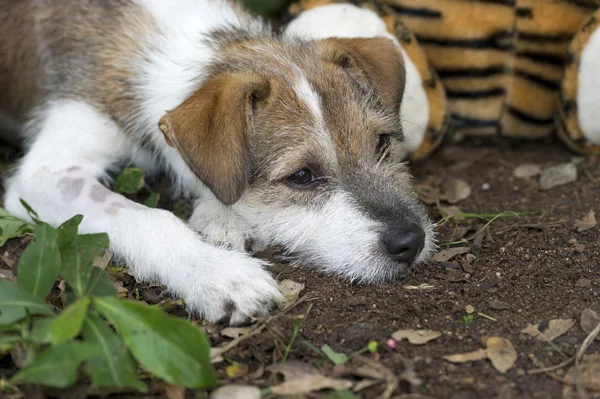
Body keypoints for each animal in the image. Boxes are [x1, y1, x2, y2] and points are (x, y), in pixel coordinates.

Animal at [0, 0, 434, 324]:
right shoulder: (47, 173)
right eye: (302, 176)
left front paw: (219, 218)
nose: (410, 242)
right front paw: (220, 274)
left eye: (381, 142)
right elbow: (146, 216)